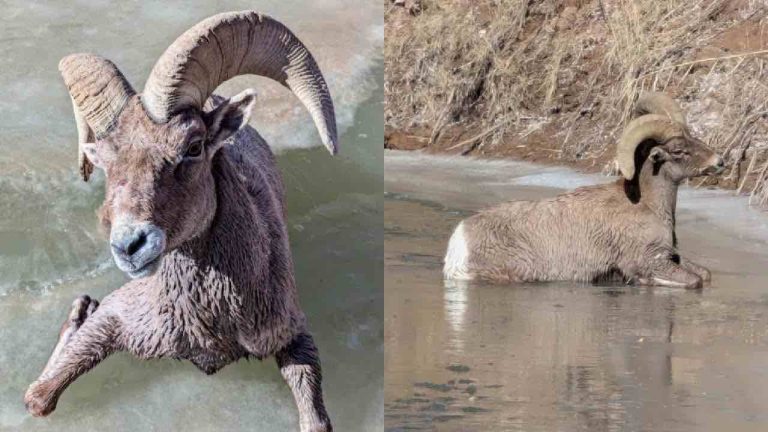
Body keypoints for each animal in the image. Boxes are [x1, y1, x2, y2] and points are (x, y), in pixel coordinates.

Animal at [23, 11, 337, 432]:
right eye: (104, 161)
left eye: (193, 147)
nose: (130, 246)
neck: (211, 321)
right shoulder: (116, 320)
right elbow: (38, 398)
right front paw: (81, 312)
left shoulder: (294, 338)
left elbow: (315, 420)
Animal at [443, 92, 724, 290]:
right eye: (678, 150)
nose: (719, 162)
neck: (649, 206)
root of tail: (459, 243)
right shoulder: (651, 260)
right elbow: (694, 281)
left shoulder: (672, 257)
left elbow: (706, 274)